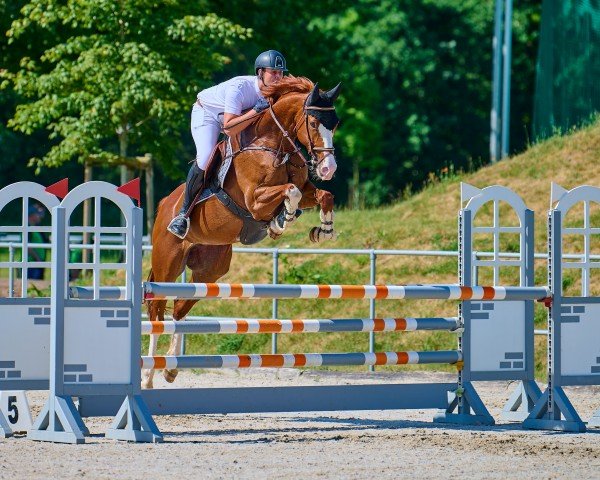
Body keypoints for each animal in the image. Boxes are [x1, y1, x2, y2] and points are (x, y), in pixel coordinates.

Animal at [139, 76, 338, 390]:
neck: (275, 146)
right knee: (157, 311)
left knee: (180, 308)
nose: (329, 168)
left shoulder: (306, 189)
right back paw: (148, 376)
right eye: (314, 122)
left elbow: (322, 195)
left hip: (210, 270)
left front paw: (323, 231)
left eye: (336, 123)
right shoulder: (255, 199)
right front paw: (281, 221)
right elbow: (290, 192)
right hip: (166, 263)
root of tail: (163, 205)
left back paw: (170, 369)